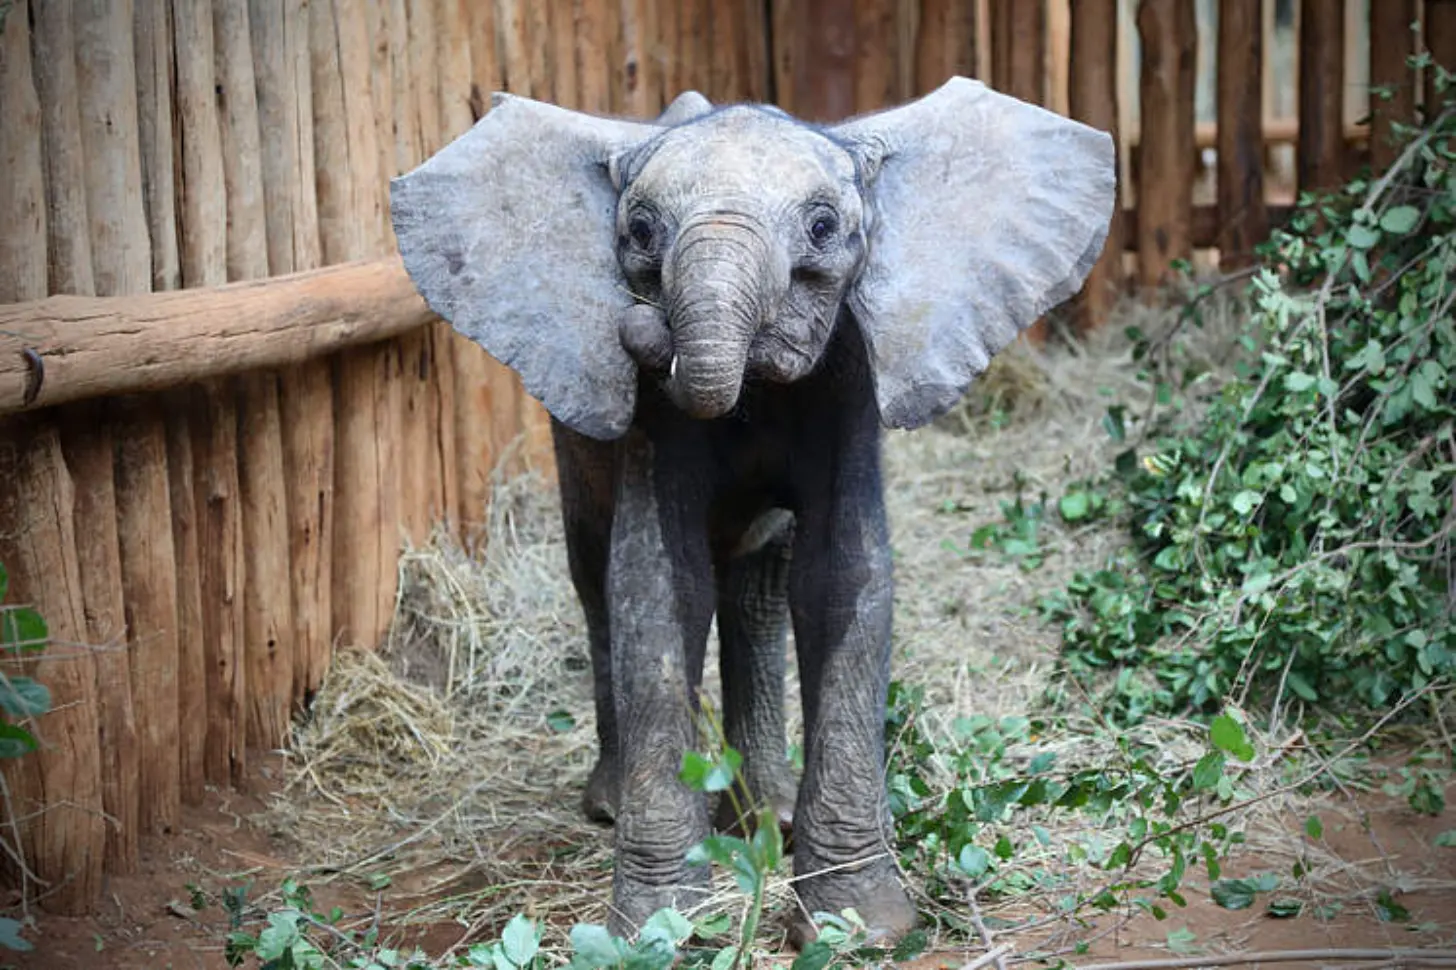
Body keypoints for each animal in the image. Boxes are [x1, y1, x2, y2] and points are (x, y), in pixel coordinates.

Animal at [390, 77, 1115, 944]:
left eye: (824, 227)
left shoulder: (848, 373)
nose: (643, 328)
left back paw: (765, 817)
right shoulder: (649, 420)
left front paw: (857, 928)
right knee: (593, 572)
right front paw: (659, 929)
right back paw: (621, 808)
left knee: (759, 586)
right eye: (641, 230)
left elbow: (844, 576)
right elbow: (656, 586)